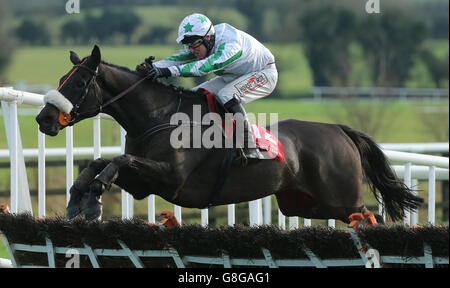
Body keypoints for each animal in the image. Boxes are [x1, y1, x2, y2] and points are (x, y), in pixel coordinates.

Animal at [35, 46, 422, 224]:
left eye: (79, 83)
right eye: (61, 80)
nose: (43, 118)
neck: (159, 116)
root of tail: (340, 131)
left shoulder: (170, 178)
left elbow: (117, 160)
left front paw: (94, 200)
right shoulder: (144, 184)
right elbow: (101, 162)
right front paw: (77, 200)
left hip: (343, 199)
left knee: (373, 219)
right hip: (307, 203)